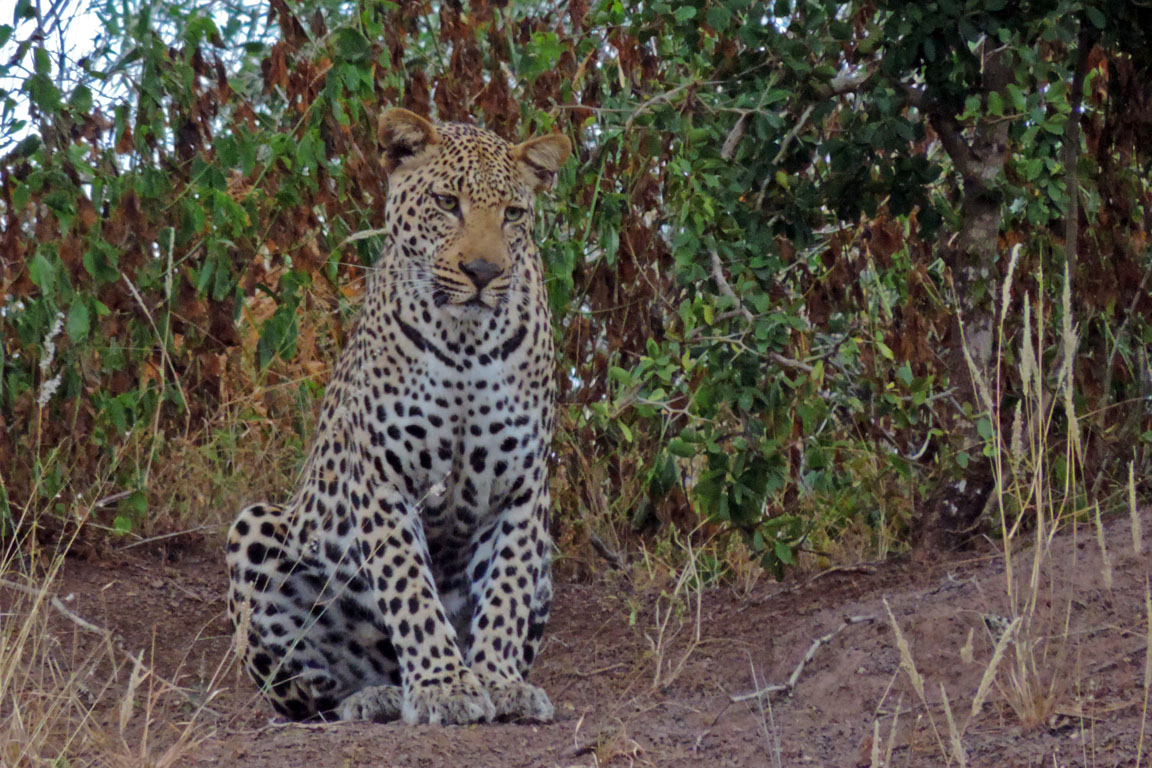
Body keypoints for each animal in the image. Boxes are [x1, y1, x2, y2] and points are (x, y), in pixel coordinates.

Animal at [224, 109, 571, 727]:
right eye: (447, 202)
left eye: (513, 213)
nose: (483, 271)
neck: (465, 341)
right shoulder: (385, 478)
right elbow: (410, 588)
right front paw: (444, 686)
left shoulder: (523, 485)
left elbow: (505, 590)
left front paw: (499, 682)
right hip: (258, 529)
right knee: (312, 695)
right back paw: (375, 696)